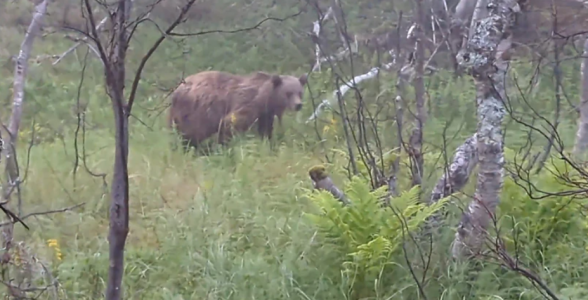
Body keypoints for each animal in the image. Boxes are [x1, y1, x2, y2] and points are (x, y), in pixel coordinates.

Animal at [167, 70, 308, 150]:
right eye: (288, 93)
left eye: (300, 92)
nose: (298, 105)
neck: (266, 98)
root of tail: (175, 90)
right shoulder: (247, 102)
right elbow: (231, 122)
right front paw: (223, 146)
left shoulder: (265, 113)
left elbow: (265, 129)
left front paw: (268, 144)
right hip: (195, 110)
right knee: (191, 133)